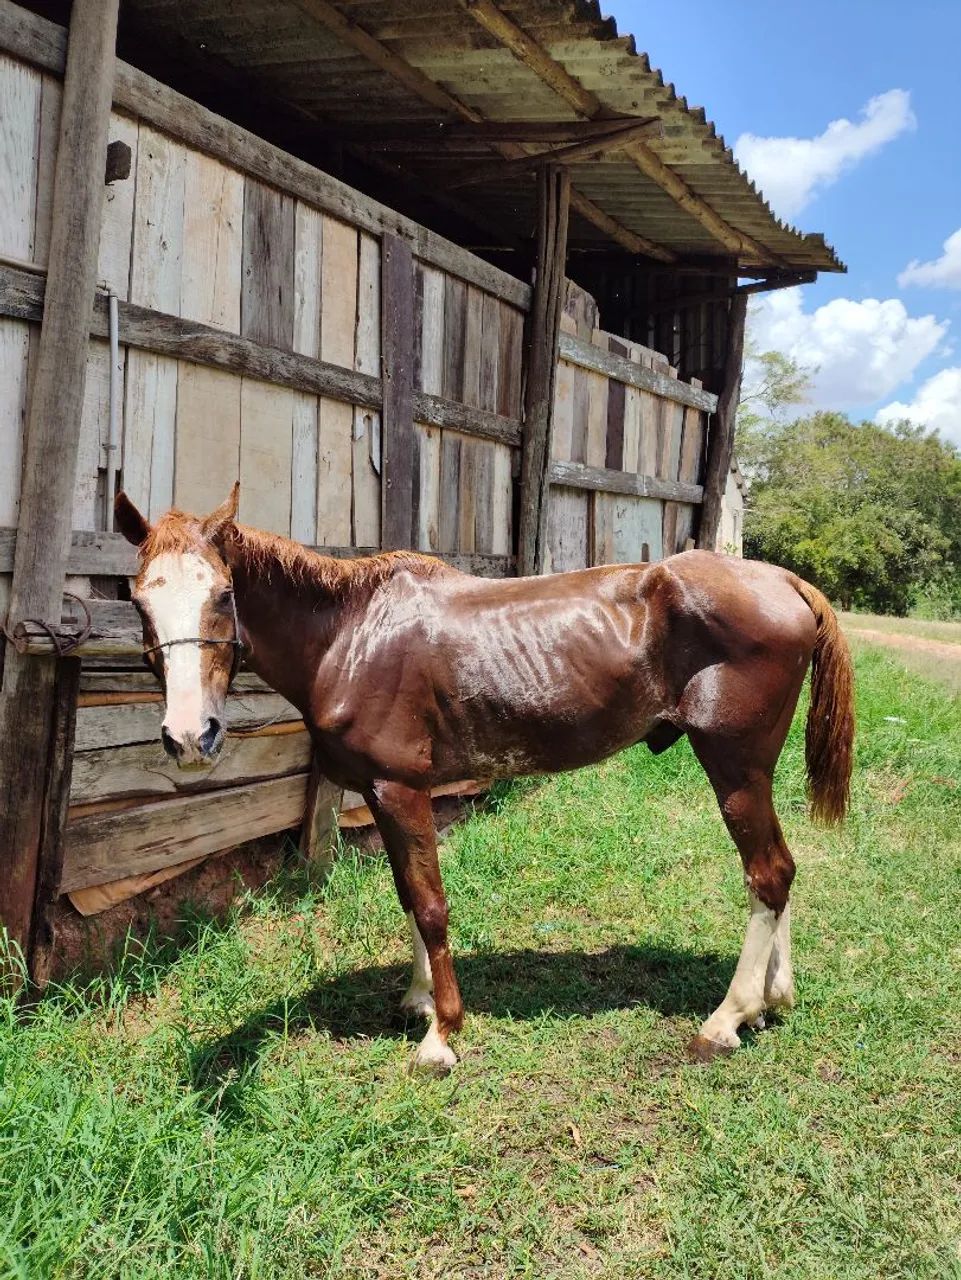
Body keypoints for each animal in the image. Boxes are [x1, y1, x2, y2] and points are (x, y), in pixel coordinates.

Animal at [114, 484, 854, 1072]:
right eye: (138, 600)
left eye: (224, 594)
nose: (190, 737)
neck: (352, 636)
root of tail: (781, 581)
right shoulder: (384, 794)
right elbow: (407, 896)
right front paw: (416, 1001)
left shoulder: (400, 791)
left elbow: (432, 905)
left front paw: (441, 1034)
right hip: (752, 771)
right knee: (778, 873)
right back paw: (770, 1000)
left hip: (733, 765)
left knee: (767, 874)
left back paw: (725, 1020)